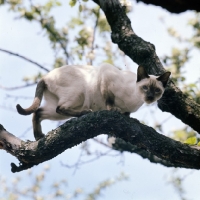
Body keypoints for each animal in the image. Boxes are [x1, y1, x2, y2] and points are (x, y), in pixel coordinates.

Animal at [16, 63, 171, 140]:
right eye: (145, 88)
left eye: (156, 91)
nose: (150, 97)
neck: (135, 100)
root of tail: (45, 76)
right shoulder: (106, 77)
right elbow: (110, 101)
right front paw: (113, 110)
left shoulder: (128, 110)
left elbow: (127, 115)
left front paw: (130, 119)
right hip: (78, 93)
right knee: (60, 108)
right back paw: (85, 112)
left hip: (59, 110)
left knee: (39, 112)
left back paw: (38, 136)